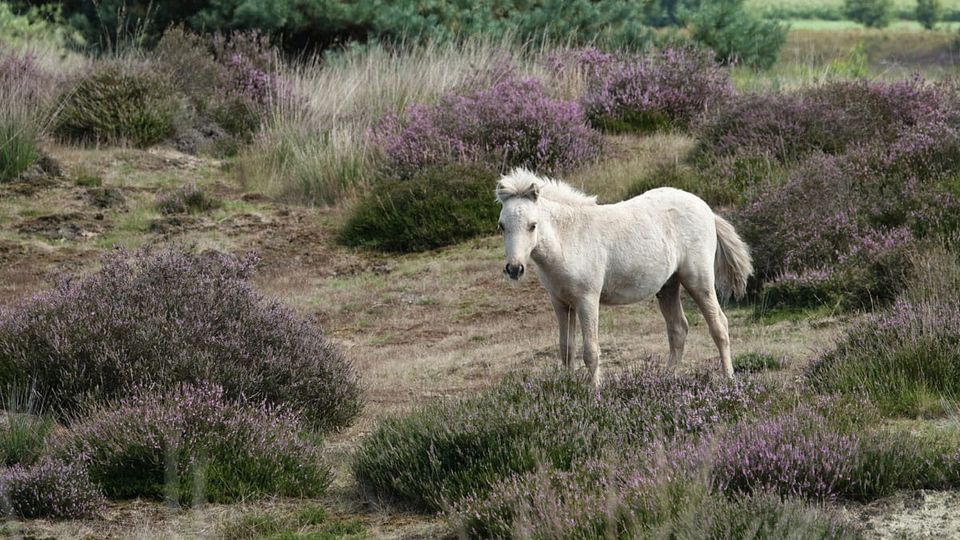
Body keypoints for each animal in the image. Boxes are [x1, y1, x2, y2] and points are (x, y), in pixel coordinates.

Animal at [495, 167, 753, 386]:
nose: (514, 269)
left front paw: (594, 392)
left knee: (719, 325)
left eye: (532, 225)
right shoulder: (560, 303)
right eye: (501, 225)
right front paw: (568, 388)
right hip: (668, 286)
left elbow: (591, 350)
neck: (569, 238)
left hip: (698, 280)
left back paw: (729, 379)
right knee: (678, 329)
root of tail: (706, 209)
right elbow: (566, 349)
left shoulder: (587, 299)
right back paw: (666, 379)